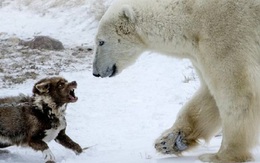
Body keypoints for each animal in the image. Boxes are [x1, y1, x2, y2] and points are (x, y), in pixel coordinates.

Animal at [93, 0, 260, 162]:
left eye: (101, 42)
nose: (95, 72)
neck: (190, 16)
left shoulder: (226, 35)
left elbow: (237, 93)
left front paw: (221, 155)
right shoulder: (199, 52)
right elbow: (208, 96)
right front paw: (168, 141)